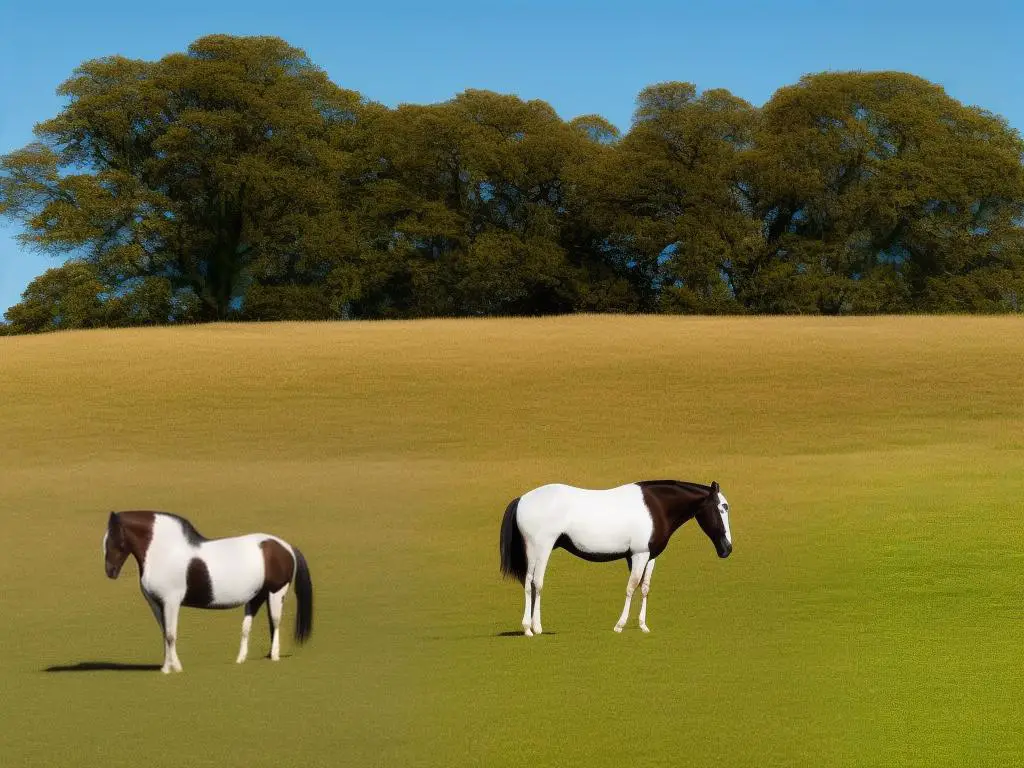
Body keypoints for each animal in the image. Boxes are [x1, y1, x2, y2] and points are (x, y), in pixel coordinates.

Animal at [104, 514, 313, 675]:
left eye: (114, 539)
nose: (110, 572)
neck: (165, 552)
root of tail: (285, 546)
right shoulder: (156, 603)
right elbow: (164, 634)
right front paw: (168, 667)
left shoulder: (171, 602)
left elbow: (171, 635)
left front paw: (173, 669)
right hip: (257, 596)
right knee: (252, 626)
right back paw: (243, 659)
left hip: (276, 592)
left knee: (275, 622)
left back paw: (274, 656)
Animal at [499, 481, 733, 638]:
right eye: (721, 508)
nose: (727, 548)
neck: (656, 507)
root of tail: (522, 499)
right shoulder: (638, 555)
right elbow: (631, 587)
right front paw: (619, 625)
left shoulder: (649, 557)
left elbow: (644, 588)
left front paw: (643, 625)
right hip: (539, 548)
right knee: (534, 583)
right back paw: (532, 628)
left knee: (530, 583)